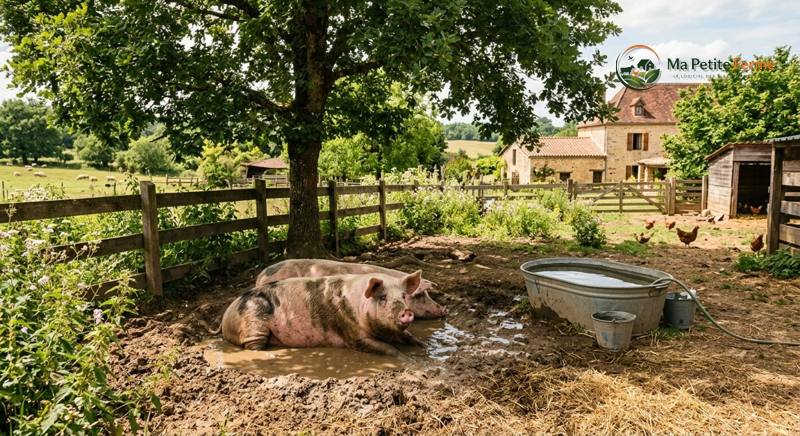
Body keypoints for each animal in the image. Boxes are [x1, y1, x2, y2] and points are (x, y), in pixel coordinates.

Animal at [222, 272, 424, 355]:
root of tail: (225, 316)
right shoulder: (351, 333)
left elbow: (410, 337)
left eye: (403, 296)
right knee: (253, 346)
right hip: (253, 321)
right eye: (382, 297)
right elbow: (391, 350)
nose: (406, 312)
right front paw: (406, 358)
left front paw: (423, 347)